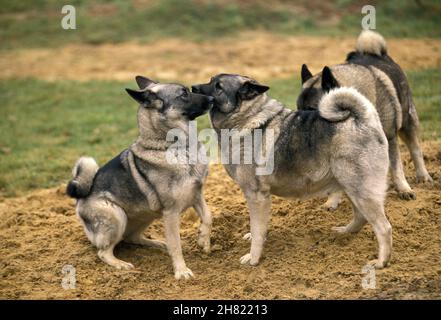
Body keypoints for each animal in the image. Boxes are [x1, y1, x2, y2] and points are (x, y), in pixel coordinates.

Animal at [65, 76, 215, 278]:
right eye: (183, 94)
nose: (212, 99)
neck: (177, 147)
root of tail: (81, 199)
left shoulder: (196, 194)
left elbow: (208, 216)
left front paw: (203, 240)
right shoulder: (171, 212)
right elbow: (176, 244)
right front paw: (181, 271)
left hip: (147, 215)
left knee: (132, 238)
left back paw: (159, 243)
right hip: (117, 215)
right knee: (103, 252)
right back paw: (120, 264)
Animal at [192, 72, 392, 268]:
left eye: (218, 87)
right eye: (210, 80)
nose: (193, 87)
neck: (247, 118)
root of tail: (363, 119)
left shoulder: (256, 196)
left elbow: (257, 230)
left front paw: (253, 258)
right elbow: (259, 228)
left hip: (360, 189)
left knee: (383, 227)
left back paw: (381, 262)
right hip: (351, 187)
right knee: (361, 217)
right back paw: (344, 233)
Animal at [296, 29, 430, 210]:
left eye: (310, 109)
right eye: (297, 108)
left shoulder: (390, 138)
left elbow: (396, 167)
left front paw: (403, 189)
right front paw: (332, 201)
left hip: (407, 122)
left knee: (415, 148)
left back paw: (423, 176)